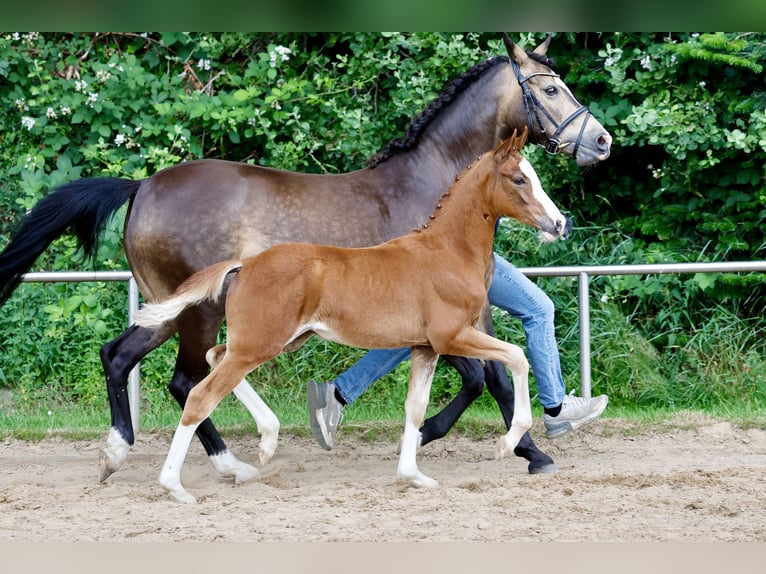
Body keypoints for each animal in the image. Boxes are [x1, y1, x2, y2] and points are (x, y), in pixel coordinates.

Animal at [133, 129, 568, 503]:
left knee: (216, 356)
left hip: (277, 340)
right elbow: (516, 357)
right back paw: (176, 486)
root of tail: (246, 263)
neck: (447, 251)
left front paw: (412, 475)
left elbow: (415, 407)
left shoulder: (425, 348)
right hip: (261, 342)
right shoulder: (452, 336)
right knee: (200, 395)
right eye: (518, 179)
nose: (559, 223)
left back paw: (267, 440)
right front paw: (508, 444)